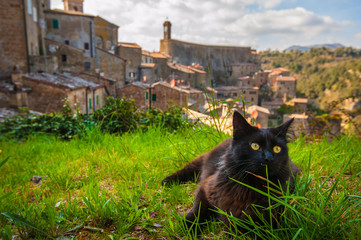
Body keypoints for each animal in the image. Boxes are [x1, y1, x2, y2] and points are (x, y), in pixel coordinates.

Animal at [162, 110, 300, 227]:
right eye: (255, 145)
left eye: (277, 149)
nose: (269, 158)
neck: (252, 185)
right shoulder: (206, 188)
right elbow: (197, 211)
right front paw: (186, 227)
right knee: (186, 170)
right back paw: (166, 181)